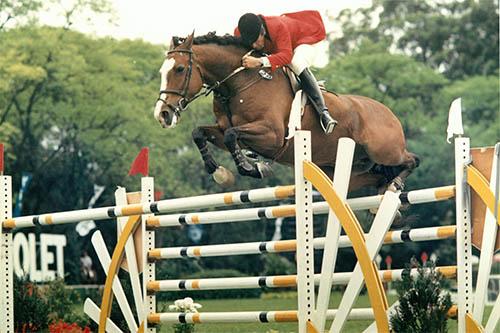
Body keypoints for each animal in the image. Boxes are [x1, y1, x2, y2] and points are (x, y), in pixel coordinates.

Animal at [154, 32, 420, 193]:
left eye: (179, 69)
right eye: (162, 71)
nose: (162, 114)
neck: (239, 84)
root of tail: (390, 113)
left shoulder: (272, 136)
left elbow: (231, 135)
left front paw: (251, 167)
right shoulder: (221, 130)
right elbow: (200, 133)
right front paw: (219, 172)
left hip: (385, 151)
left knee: (412, 160)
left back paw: (394, 186)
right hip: (347, 168)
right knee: (376, 176)